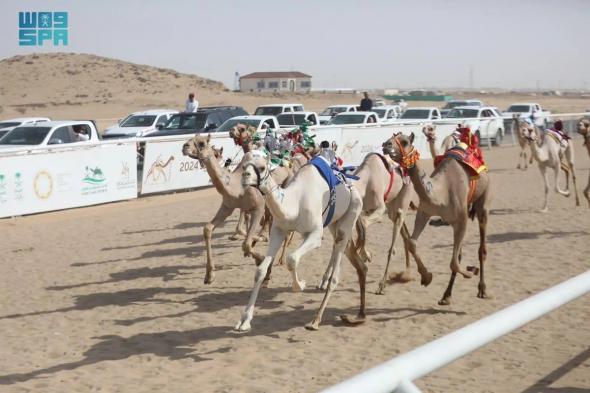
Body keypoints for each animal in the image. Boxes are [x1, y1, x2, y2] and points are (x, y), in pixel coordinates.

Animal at [235, 150, 366, 330]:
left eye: (261, 167)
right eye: (243, 166)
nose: (245, 176)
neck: (294, 204)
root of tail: (351, 185)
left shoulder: (315, 235)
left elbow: (291, 259)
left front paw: (301, 285)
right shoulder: (278, 231)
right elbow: (260, 270)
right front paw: (244, 320)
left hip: (352, 211)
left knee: (337, 267)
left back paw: (316, 319)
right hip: (334, 222)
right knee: (337, 246)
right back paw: (324, 283)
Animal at [384, 132, 494, 304]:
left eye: (405, 141)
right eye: (390, 138)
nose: (385, 145)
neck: (440, 192)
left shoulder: (461, 219)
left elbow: (454, 263)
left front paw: (470, 272)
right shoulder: (424, 212)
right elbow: (412, 243)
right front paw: (426, 277)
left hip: (484, 200)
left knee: (481, 249)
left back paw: (482, 289)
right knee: (459, 253)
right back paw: (446, 295)